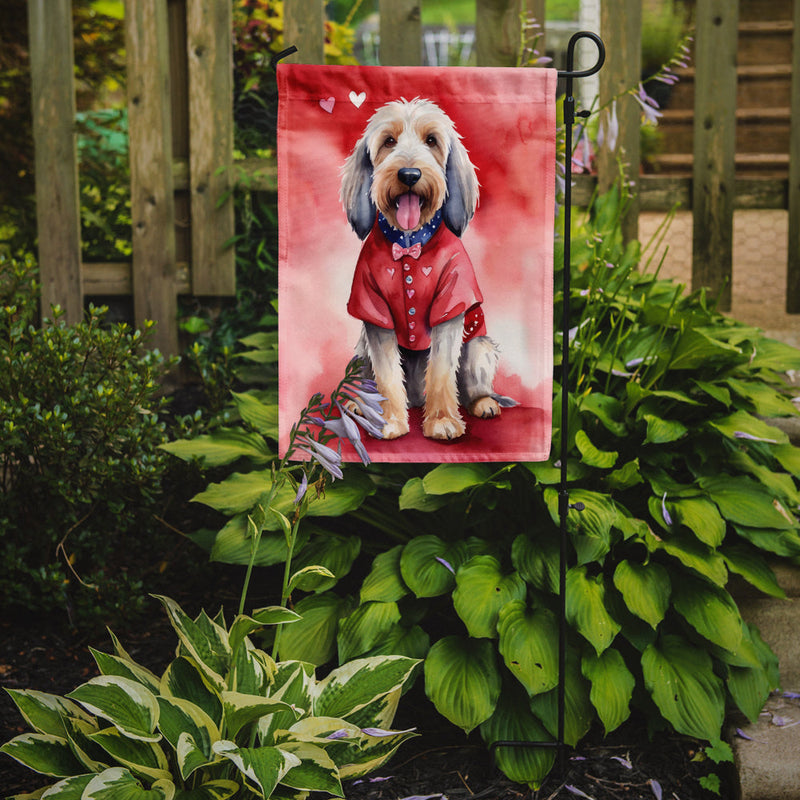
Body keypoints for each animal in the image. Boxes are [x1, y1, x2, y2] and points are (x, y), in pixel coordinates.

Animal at [340, 98, 504, 444]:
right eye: (388, 141)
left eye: (432, 141)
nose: (410, 174)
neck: (408, 244)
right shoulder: (374, 315)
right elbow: (388, 375)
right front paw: (389, 422)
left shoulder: (452, 306)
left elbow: (441, 372)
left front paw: (442, 422)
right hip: (360, 353)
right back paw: (360, 404)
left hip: (478, 348)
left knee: (471, 387)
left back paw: (484, 403)